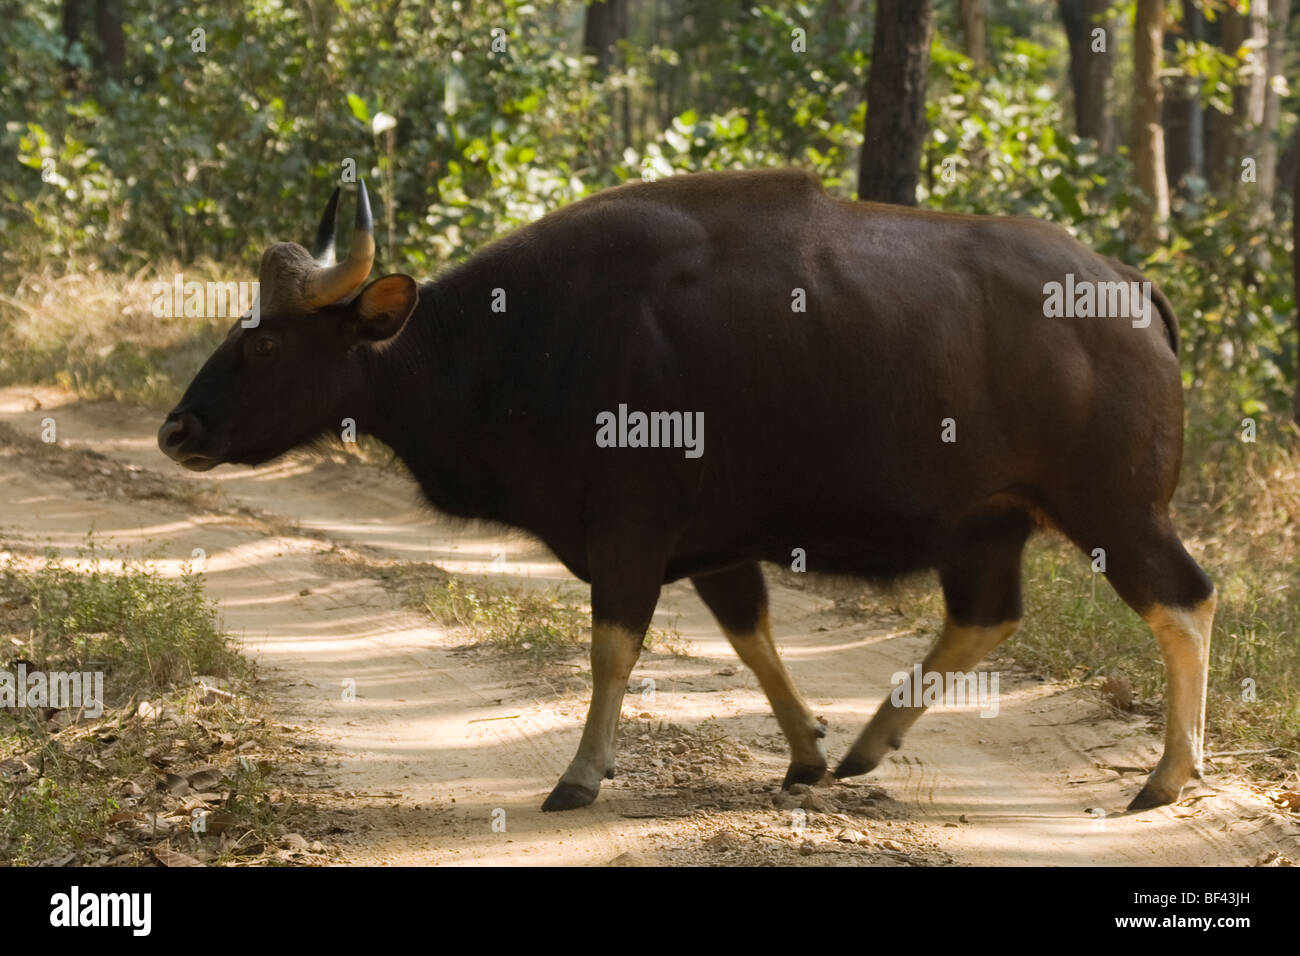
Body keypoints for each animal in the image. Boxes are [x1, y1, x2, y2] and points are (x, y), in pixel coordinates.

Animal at [157, 171, 1211, 816]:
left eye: (265, 342)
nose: (178, 431)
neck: (513, 341)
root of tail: (1128, 287)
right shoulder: (714, 543)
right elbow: (752, 638)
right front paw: (807, 753)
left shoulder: (631, 529)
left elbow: (612, 650)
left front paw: (581, 773)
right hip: (990, 524)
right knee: (987, 616)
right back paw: (869, 745)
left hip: (1116, 509)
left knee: (1187, 601)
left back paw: (1168, 775)